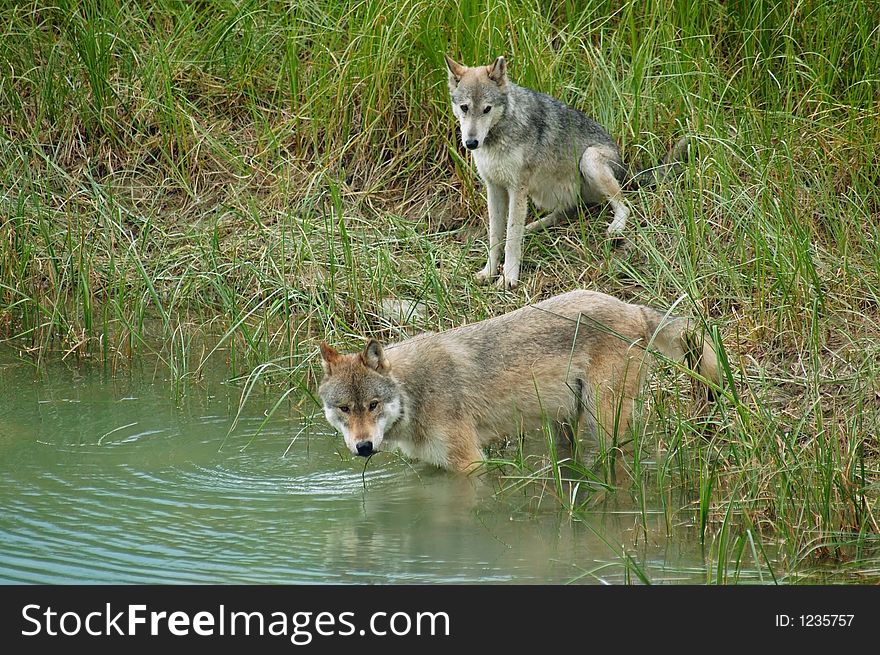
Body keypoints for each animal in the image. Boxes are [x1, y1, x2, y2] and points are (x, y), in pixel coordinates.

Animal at [320, 290, 720, 472]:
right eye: (345, 409)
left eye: (373, 405)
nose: (364, 447)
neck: (413, 394)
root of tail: (633, 307)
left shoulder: (470, 464)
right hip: (565, 423)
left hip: (603, 421)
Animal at [446, 55, 688, 290]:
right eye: (465, 108)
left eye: (487, 109)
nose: (471, 143)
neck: (497, 136)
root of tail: (625, 165)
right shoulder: (494, 187)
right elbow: (496, 237)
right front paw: (488, 272)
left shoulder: (517, 189)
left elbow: (512, 239)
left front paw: (508, 279)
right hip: (544, 192)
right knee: (566, 212)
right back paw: (532, 227)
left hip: (589, 160)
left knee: (623, 205)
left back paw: (615, 228)